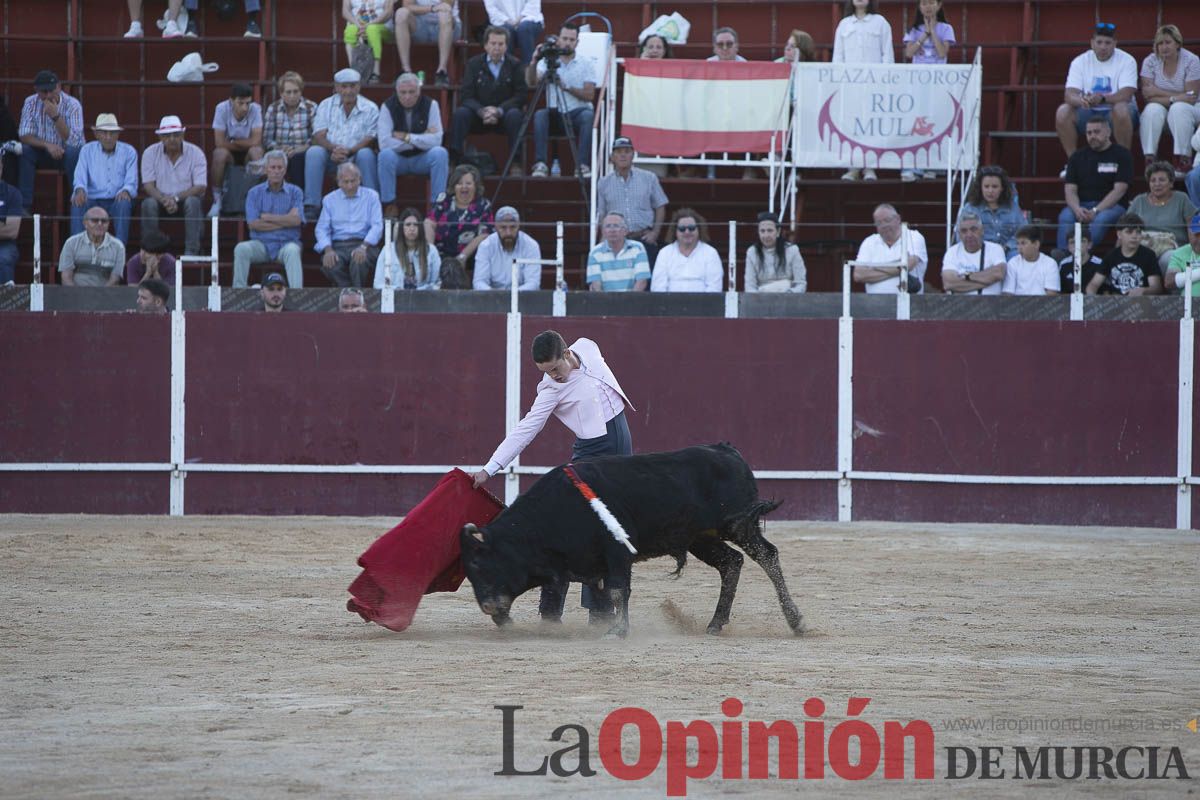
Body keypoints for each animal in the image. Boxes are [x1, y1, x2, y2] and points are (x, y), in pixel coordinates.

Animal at [458, 443, 806, 638]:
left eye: (479, 563)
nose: (488, 606)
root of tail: (728, 450)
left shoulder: (617, 551)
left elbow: (617, 590)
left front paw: (617, 631)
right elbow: (602, 591)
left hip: (738, 525)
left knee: (768, 555)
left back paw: (796, 622)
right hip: (701, 539)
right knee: (732, 563)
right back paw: (715, 624)